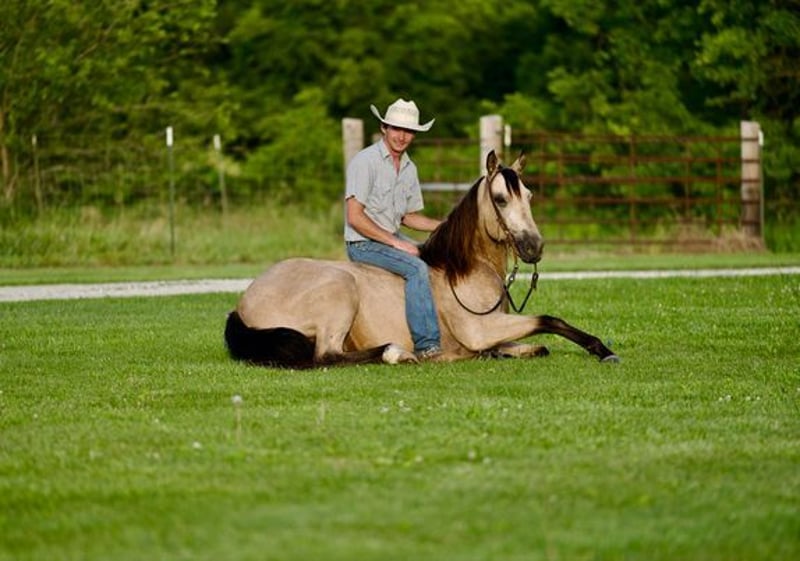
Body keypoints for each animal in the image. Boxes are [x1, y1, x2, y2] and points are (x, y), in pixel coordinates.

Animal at [224, 150, 619, 368]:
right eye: (501, 199)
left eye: (530, 195)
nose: (534, 246)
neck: (465, 271)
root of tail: (245, 300)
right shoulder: (481, 330)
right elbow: (548, 320)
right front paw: (602, 350)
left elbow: (538, 346)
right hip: (340, 290)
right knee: (327, 356)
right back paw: (397, 353)